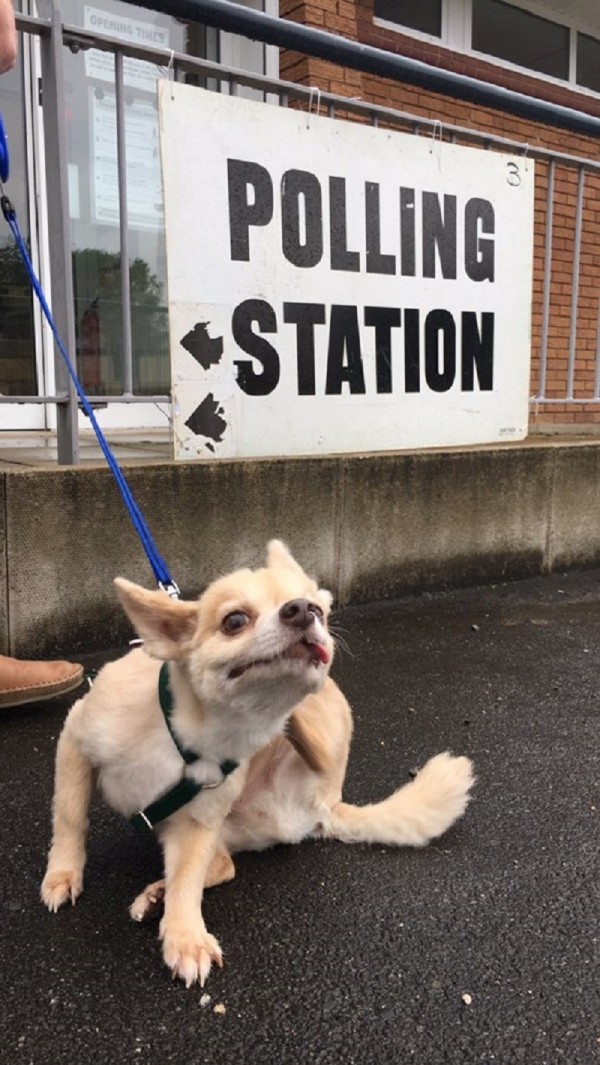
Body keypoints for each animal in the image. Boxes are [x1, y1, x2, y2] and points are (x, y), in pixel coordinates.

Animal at [39, 545, 477, 984]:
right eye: (234, 621)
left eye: (319, 611)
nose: (302, 610)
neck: (194, 735)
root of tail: (330, 805)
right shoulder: (76, 741)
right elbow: (71, 817)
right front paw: (63, 874)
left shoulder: (196, 823)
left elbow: (187, 879)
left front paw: (185, 936)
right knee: (220, 864)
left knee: (220, 866)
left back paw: (161, 893)